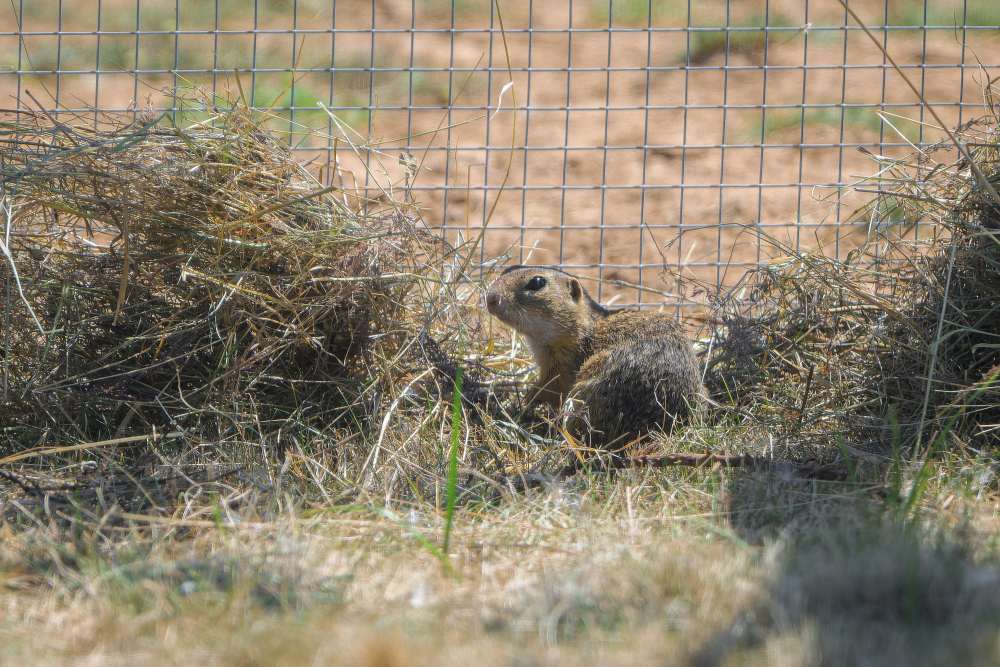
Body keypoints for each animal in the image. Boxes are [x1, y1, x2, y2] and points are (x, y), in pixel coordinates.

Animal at [484, 264, 704, 448]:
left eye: (537, 282)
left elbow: (544, 390)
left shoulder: (560, 368)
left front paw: (519, 405)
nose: (490, 298)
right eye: (508, 269)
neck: (583, 327)